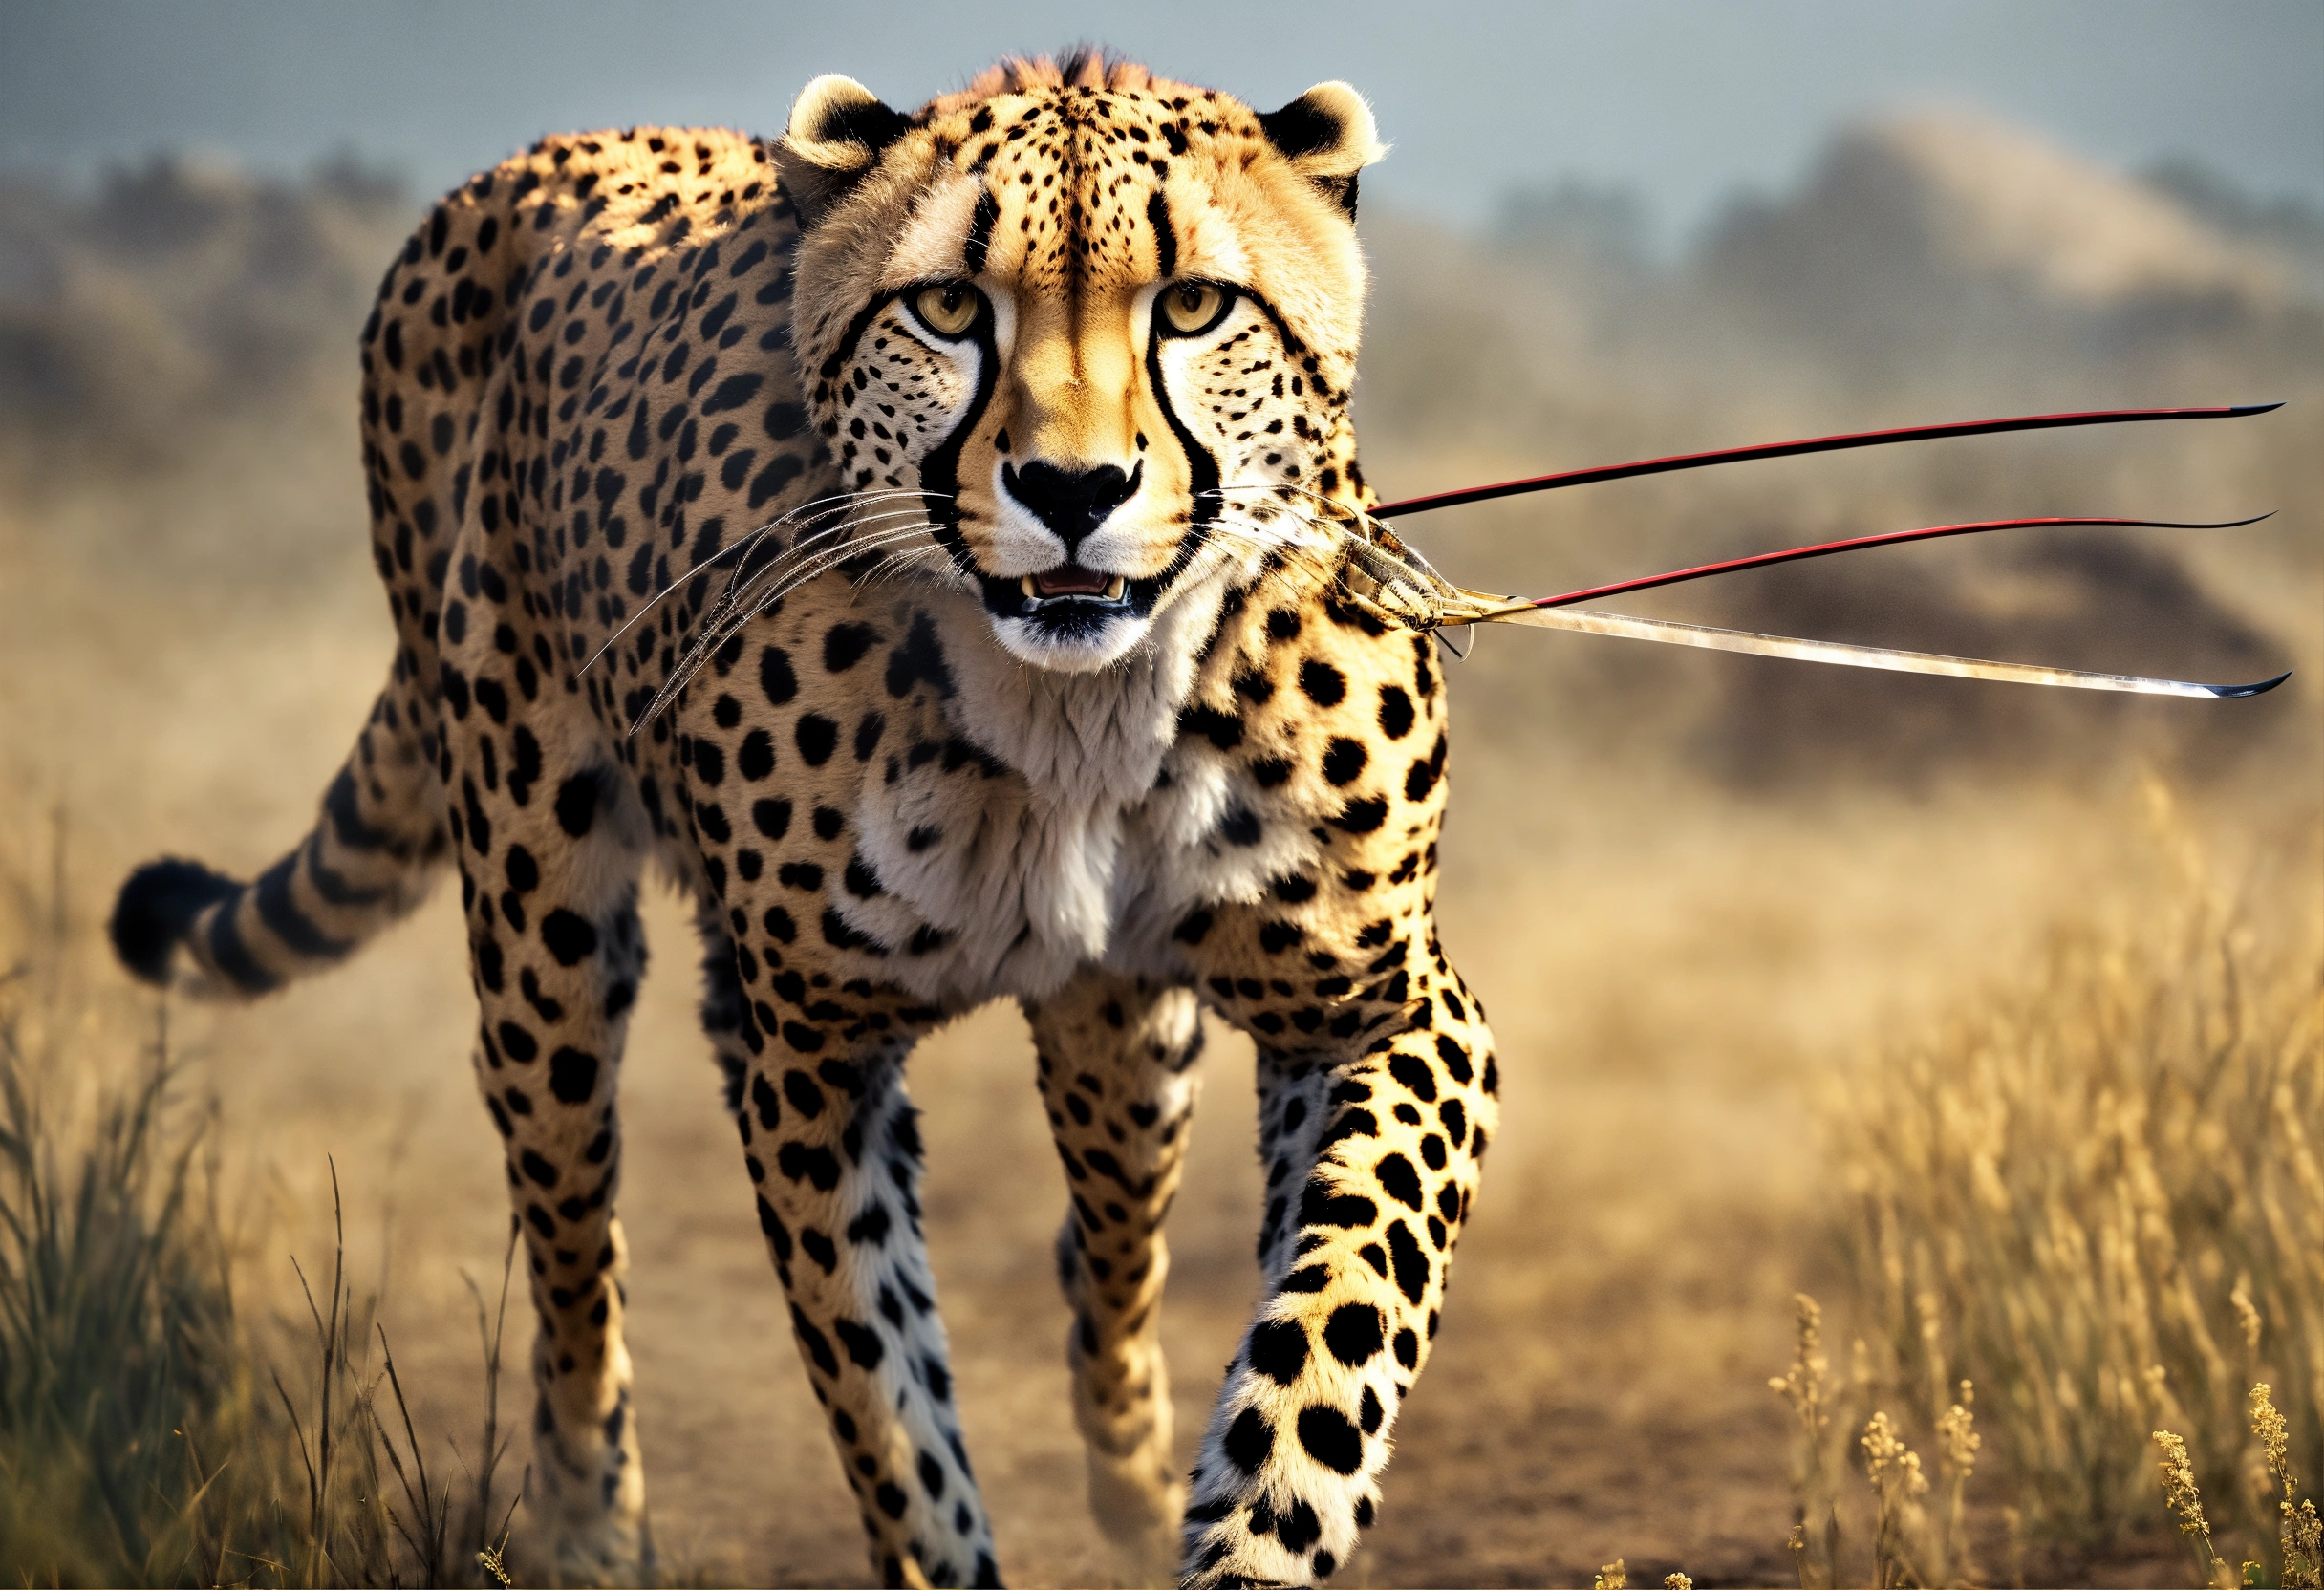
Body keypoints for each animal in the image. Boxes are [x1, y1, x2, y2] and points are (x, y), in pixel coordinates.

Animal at [109, 51, 1496, 1590]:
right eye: (947, 307)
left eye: (1193, 305)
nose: (1072, 492)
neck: (1069, 716)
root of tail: (525, 165)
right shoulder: (812, 1060)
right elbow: (887, 1406)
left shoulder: (1382, 1005)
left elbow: (1340, 1310)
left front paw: (1253, 1524)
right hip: (542, 927)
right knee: (573, 1237)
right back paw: (588, 1523)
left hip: (1113, 1016)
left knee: (1114, 1222)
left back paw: (1133, 1469)